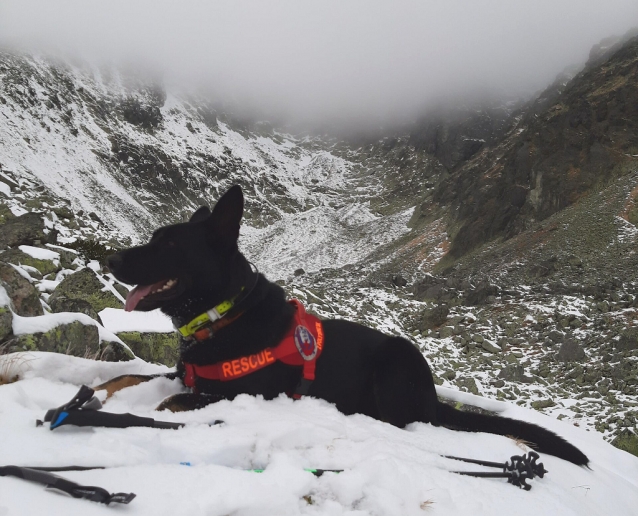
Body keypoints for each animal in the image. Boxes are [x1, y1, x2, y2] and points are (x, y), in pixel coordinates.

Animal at [104, 186, 592, 468]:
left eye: (169, 244)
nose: (110, 259)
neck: (224, 315)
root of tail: (433, 397)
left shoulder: (236, 394)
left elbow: (167, 404)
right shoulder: (182, 373)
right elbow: (126, 377)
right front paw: (101, 393)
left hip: (397, 358)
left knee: (401, 420)